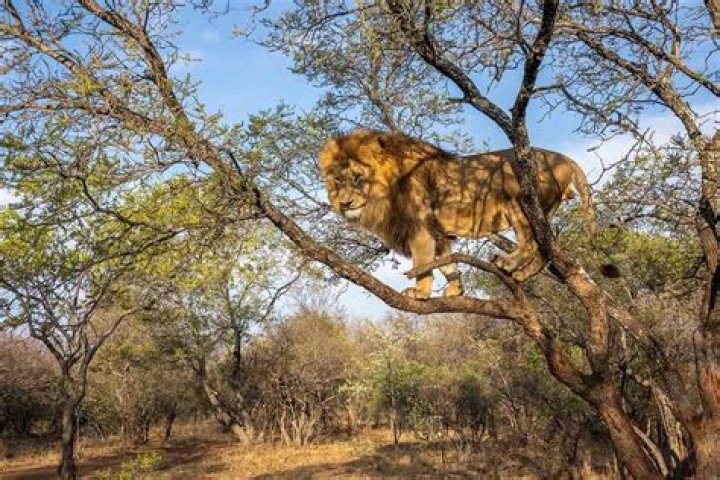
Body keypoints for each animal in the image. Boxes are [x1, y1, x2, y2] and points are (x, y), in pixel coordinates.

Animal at [318, 128, 597, 299]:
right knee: (545, 248)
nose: (345, 203)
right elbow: (446, 262)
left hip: (518, 203)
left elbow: (422, 265)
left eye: (357, 178)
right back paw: (521, 274)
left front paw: (420, 293)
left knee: (531, 243)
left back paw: (508, 263)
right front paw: (455, 290)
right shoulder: (436, 231)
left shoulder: (420, 230)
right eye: (338, 180)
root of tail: (565, 159)